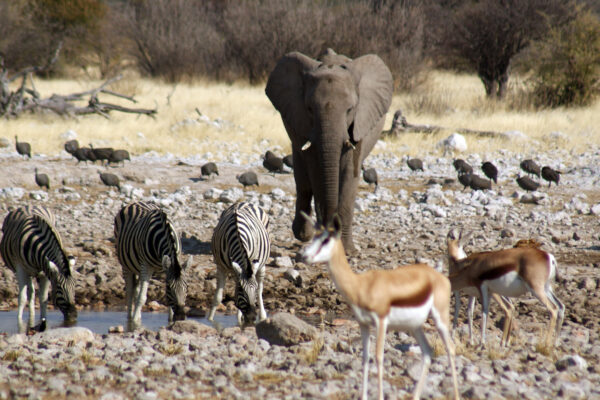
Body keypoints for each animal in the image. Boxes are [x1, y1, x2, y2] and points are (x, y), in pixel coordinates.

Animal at [268, 48, 394, 252]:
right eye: (309, 109)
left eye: (350, 109)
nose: (331, 226)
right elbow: (315, 170)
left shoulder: (360, 122)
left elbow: (350, 172)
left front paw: (347, 250)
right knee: (303, 179)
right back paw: (304, 234)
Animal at [300, 216, 460, 400]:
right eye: (314, 237)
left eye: (326, 240)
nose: (303, 256)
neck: (361, 285)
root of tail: (440, 277)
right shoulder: (363, 324)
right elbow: (365, 358)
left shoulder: (381, 322)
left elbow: (378, 357)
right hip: (415, 326)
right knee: (427, 352)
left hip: (440, 319)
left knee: (451, 348)